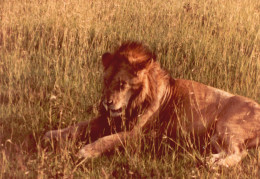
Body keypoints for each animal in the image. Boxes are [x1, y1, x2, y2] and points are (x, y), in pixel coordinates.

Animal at [44, 41, 260, 167]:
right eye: (106, 82)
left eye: (122, 84)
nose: (107, 103)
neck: (133, 103)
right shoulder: (109, 119)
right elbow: (80, 126)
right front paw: (53, 134)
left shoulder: (136, 133)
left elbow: (108, 139)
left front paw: (86, 151)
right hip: (215, 136)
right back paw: (211, 159)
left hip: (226, 126)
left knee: (239, 153)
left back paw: (216, 164)